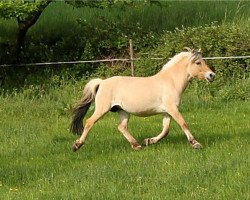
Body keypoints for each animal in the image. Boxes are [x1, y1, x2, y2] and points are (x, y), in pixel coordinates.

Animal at [70, 48, 215, 152]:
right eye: (198, 62)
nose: (212, 75)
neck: (171, 81)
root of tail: (101, 83)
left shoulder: (166, 112)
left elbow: (165, 130)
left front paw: (149, 141)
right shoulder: (172, 109)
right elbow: (183, 123)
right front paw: (195, 144)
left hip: (123, 111)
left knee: (122, 127)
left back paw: (136, 145)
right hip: (102, 109)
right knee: (89, 122)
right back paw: (77, 145)